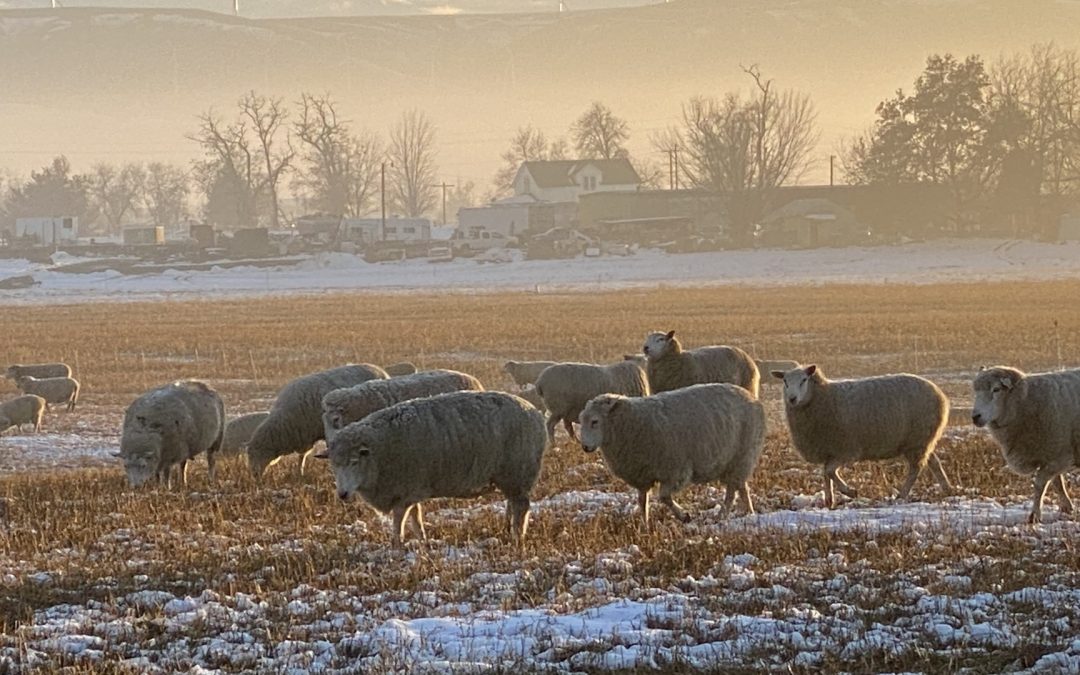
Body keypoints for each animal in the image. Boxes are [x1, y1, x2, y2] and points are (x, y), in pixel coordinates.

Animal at [247, 364, 388, 478]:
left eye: (254, 455)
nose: (254, 476)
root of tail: (379, 370)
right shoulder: (304, 435)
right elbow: (302, 456)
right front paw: (300, 473)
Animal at [324, 391, 546, 546]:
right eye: (333, 465)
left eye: (354, 461)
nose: (342, 494)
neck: (379, 453)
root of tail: (534, 412)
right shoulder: (411, 490)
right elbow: (416, 517)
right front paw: (422, 541)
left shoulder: (404, 491)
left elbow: (400, 520)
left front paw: (397, 545)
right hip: (510, 477)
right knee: (512, 504)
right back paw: (507, 530)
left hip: (519, 471)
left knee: (522, 508)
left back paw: (518, 537)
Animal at [578, 383, 765, 527]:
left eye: (595, 421)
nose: (585, 447)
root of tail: (751, 396)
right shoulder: (642, 476)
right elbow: (642, 501)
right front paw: (645, 525)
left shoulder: (676, 471)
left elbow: (664, 497)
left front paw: (684, 516)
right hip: (735, 461)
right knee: (742, 487)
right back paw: (749, 513)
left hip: (742, 455)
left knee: (732, 491)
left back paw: (722, 516)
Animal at [772, 364, 952, 508]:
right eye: (785, 381)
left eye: (804, 380)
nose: (792, 398)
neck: (821, 397)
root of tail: (940, 394)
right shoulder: (828, 449)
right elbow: (825, 474)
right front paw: (829, 501)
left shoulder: (846, 450)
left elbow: (829, 471)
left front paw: (850, 491)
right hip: (922, 440)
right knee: (934, 462)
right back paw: (947, 489)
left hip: (916, 440)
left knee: (915, 469)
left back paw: (902, 495)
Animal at [972, 366, 1080, 524]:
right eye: (976, 391)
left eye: (996, 389)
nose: (975, 417)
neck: (1024, 401)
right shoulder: (1050, 455)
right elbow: (1057, 483)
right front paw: (1067, 507)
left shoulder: (1060, 456)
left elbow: (1040, 484)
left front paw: (1035, 515)